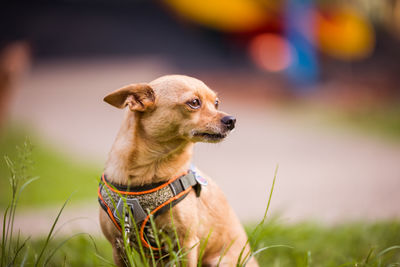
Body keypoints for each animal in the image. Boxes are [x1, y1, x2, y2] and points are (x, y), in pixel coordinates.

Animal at [98, 75, 258, 267]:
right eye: (194, 102)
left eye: (216, 103)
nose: (231, 120)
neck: (149, 170)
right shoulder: (119, 246)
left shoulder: (187, 244)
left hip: (220, 261)